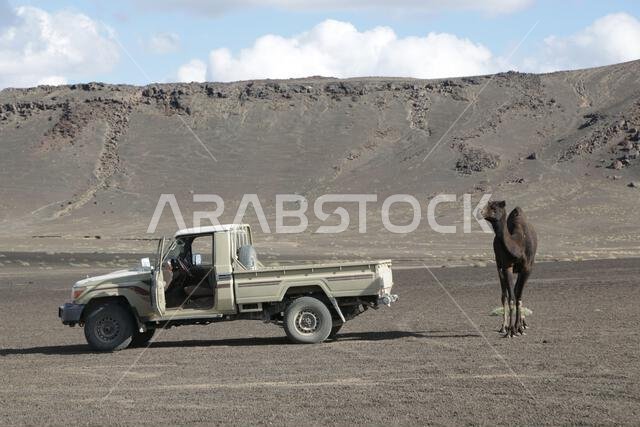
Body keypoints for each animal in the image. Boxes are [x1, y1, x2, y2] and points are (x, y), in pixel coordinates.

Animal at [481, 201, 537, 337]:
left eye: (494, 208)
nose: (481, 211)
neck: (518, 244)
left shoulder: (527, 268)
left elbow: (518, 297)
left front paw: (519, 328)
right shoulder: (507, 266)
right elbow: (511, 297)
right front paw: (511, 331)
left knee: (516, 292)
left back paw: (522, 324)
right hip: (498, 265)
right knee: (504, 294)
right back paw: (504, 327)